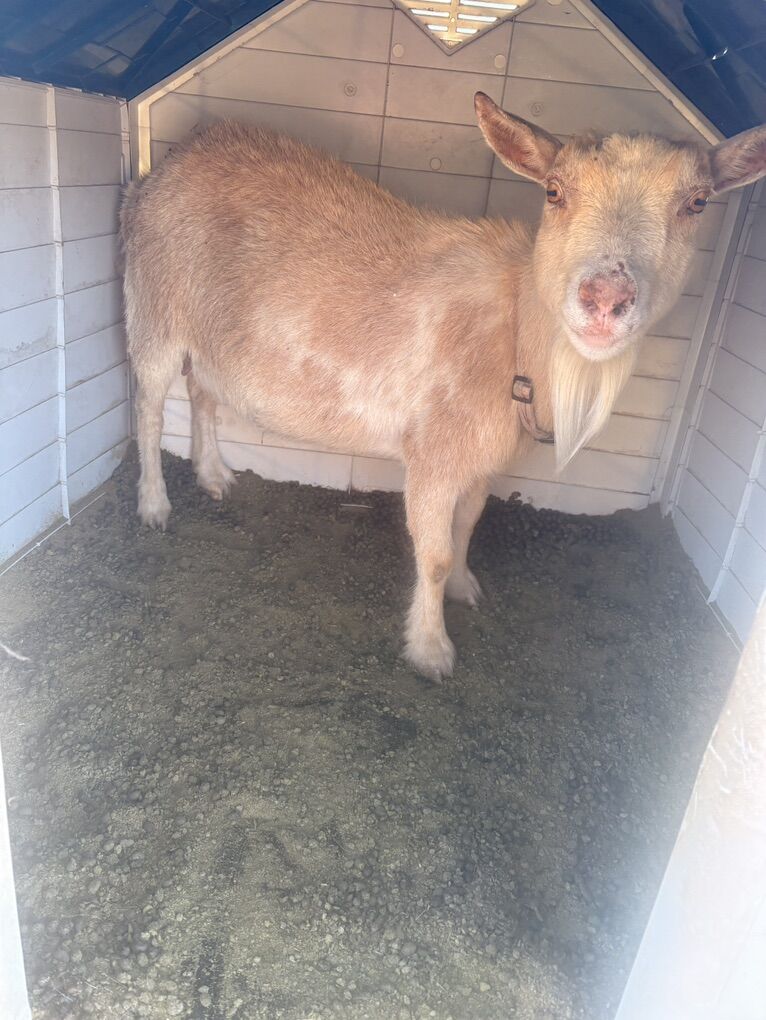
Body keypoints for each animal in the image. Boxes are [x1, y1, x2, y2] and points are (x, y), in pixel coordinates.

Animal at [120, 93, 766, 678]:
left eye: (697, 202)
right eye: (554, 191)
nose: (605, 299)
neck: (516, 330)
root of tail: (169, 165)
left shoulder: (480, 459)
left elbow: (468, 526)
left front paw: (464, 587)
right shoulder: (433, 452)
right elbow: (431, 554)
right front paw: (431, 651)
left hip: (212, 338)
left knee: (203, 393)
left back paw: (214, 476)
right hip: (153, 304)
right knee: (149, 409)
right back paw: (154, 505)